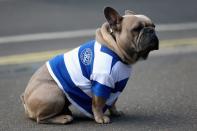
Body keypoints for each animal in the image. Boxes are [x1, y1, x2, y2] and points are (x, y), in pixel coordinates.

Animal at [20, 6, 159, 124]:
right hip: (55, 93)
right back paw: (63, 118)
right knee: (40, 119)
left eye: (154, 26)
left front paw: (115, 112)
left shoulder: (117, 85)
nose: (151, 31)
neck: (115, 49)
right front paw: (100, 118)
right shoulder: (102, 82)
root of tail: (25, 99)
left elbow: (113, 101)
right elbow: (98, 103)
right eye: (136, 29)